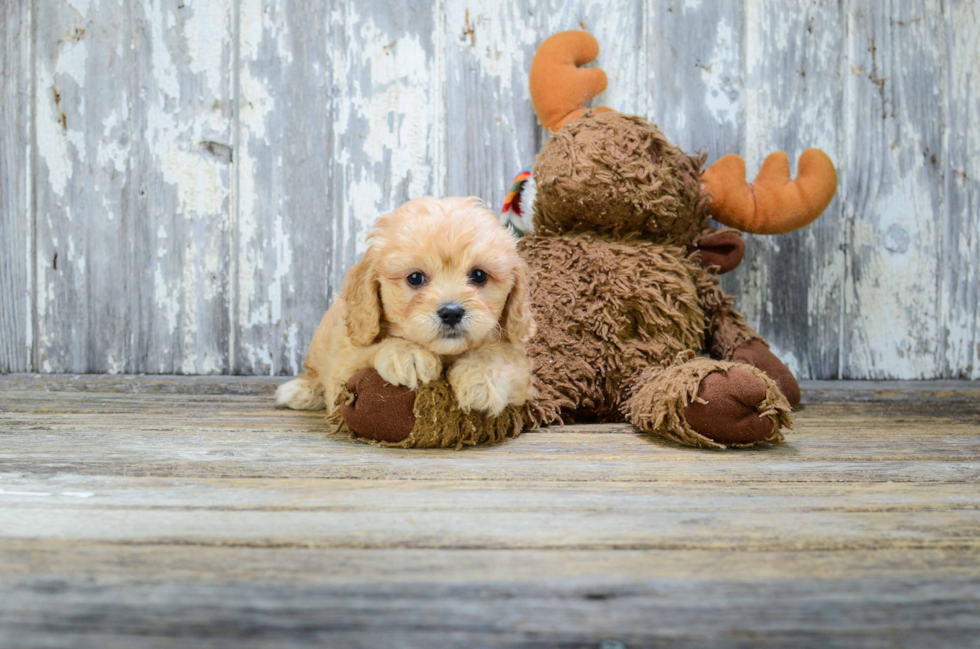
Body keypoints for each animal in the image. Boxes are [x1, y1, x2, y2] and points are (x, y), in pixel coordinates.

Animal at [276, 196, 536, 416]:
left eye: (479, 275)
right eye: (415, 278)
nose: (451, 313)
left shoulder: (523, 372)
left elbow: (502, 356)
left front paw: (480, 378)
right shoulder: (343, 365)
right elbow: (367, 351)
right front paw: (407, 353)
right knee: (313, 371)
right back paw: (301, 390)